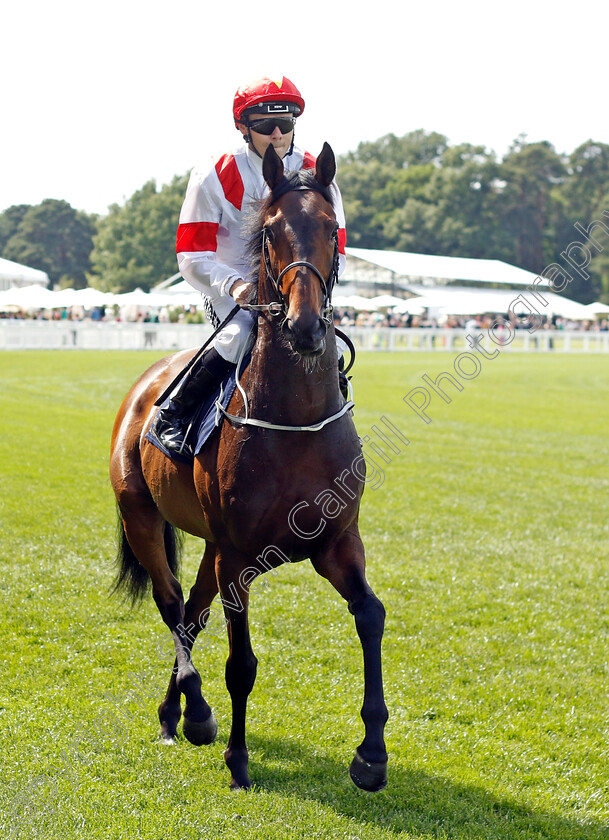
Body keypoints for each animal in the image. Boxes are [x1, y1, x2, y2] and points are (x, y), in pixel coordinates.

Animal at [108, 141, 388, 792]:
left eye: (331, 229)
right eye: (270, 231)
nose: (305, 326)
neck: (295, 422)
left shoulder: (337, 540)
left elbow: (370, 615)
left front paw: (371, 753)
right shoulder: (238, 556)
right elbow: (241, 662)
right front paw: (236, 757)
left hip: (210, 545)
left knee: (190, 614)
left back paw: (173, 713)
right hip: (141, 516)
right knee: (172, 607)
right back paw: (196, 711)